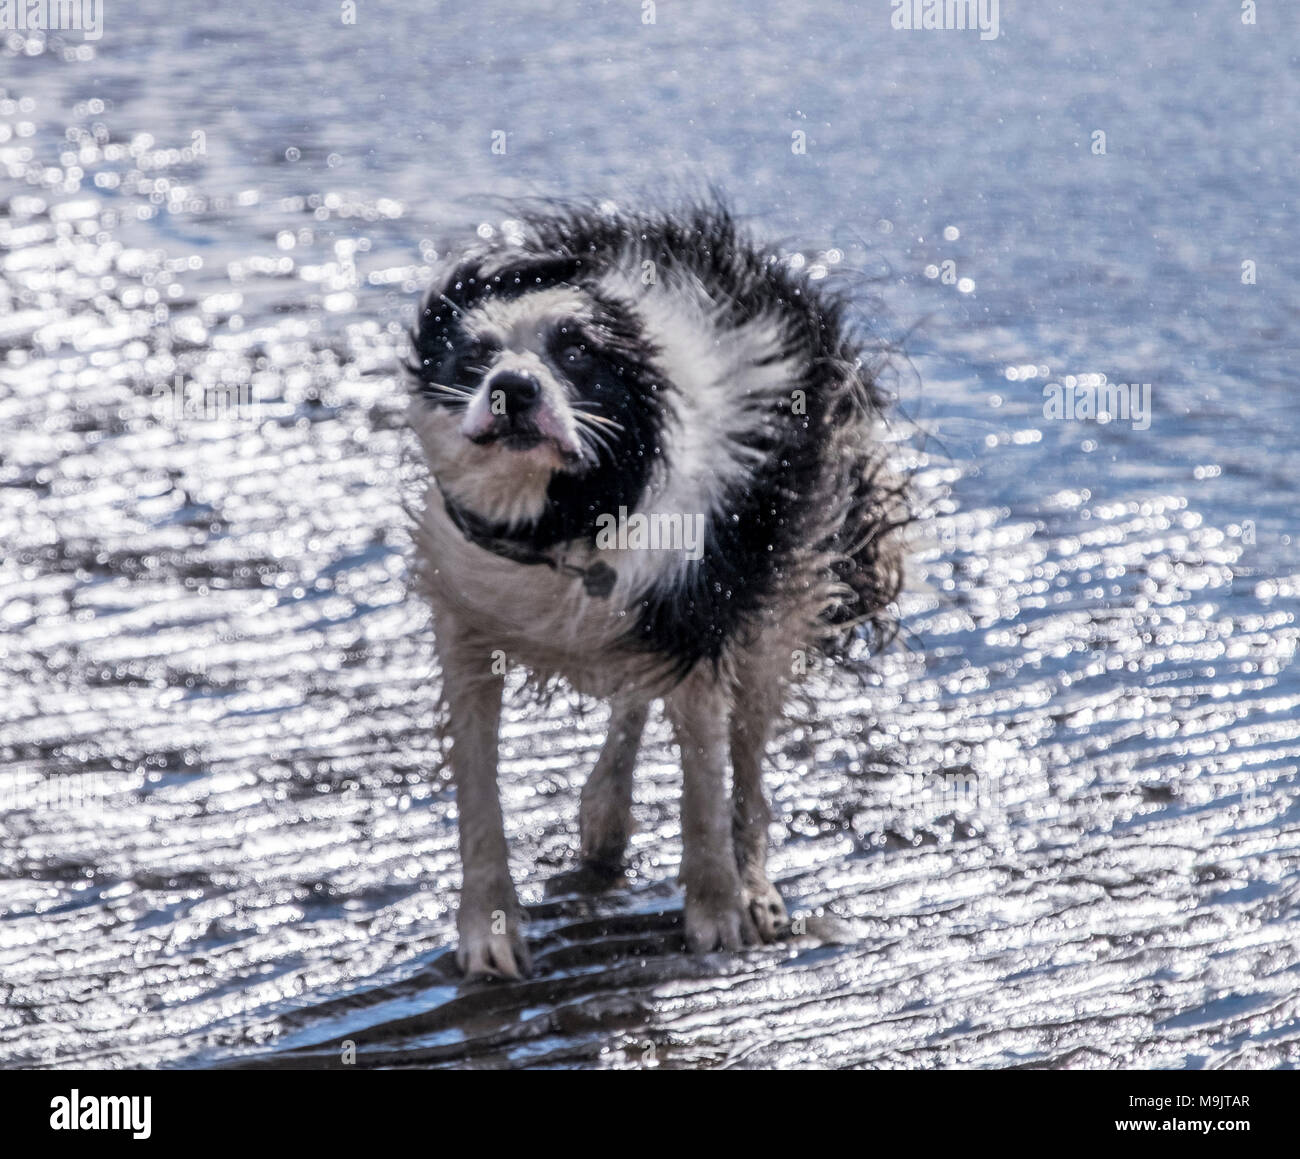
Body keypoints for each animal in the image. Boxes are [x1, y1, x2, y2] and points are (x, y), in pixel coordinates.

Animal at [405, 201, 904, 977]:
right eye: (473, 357)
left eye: (576, 353)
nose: (513, 387)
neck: (565, 524)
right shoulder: (467, 627)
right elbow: (478, 792)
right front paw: (489, 930)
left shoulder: (698, 623)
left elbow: (705, 785)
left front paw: (718, 913)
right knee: (636, 699)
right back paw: (605, 817)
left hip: (776, 600)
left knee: (747, 756)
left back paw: (752, 881)